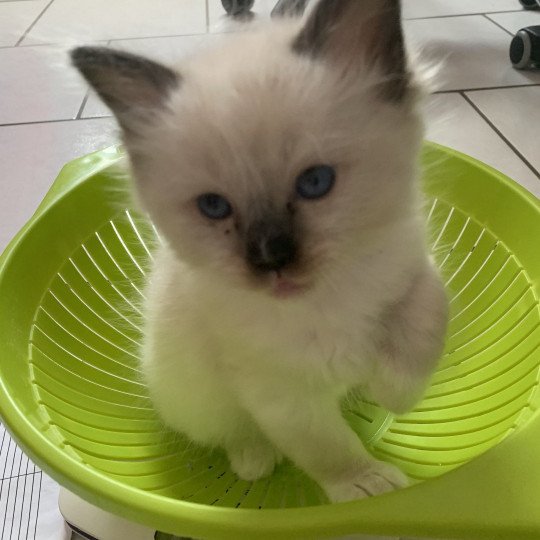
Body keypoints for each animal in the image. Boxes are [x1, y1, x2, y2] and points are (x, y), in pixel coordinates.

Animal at [70, 0, 448, 504]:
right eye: (214, 207)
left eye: (315, 182)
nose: (272, 262)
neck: (324, 300)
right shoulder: (281, 396)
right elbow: (326, 447)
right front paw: (364, 484)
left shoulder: (415, 269)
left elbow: (423, 323)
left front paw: (390, 390)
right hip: (193, 397)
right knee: (234, 430)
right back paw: (254, 460)